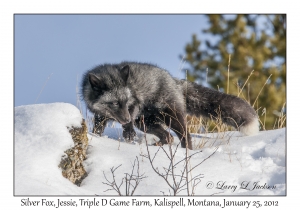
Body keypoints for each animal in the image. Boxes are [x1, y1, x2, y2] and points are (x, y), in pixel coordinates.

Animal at [81, 61, 258, 149]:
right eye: (114, 103)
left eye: (126, 101)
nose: (124, 119)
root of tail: (174, 81)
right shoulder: (100, 116)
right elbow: (97, 129)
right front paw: (96, 137)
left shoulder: (135, 105)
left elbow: (130, 119)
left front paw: (128, 133)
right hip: (146, 123)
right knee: (168, 136)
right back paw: (159, 146)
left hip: (170, 117)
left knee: (185, 135)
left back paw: (186, 152)